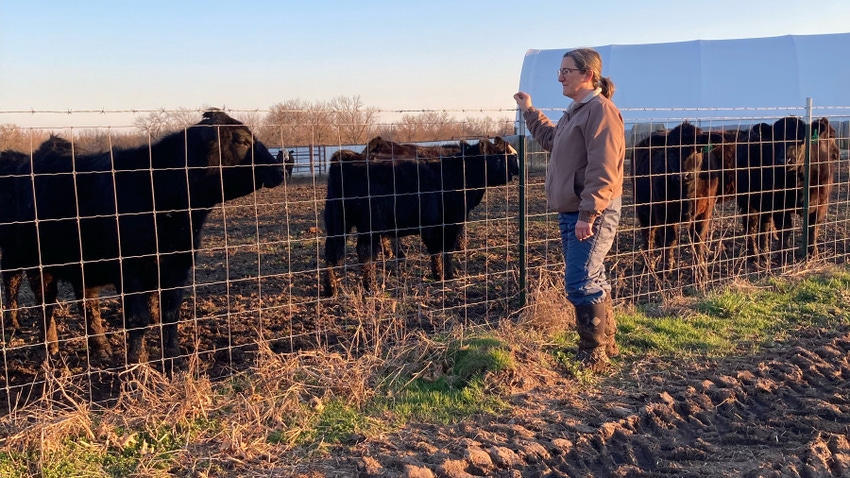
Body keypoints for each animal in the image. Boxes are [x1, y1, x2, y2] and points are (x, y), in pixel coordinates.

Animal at [1, 112, 284, 366]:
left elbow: (169, 315)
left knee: (88, 304)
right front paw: (137, 366)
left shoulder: (177, 268)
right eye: (242, 141)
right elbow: (138, 321)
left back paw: (101, 350)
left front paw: (174, 361)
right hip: (36, 263)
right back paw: (48, 350)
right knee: (42, 302)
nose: (281, 167)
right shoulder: (131, 272)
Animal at [322, 136, 516, 296]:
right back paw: (371, 286)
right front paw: (447, 275)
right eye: (498, 156)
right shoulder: (451, 221)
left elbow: (436, 250)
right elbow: (444, 249)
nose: (516, 169)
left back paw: (331, 289)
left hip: (337, 222)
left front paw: (438, 274)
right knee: (365, 252)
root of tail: (346, 158)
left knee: (332, 251)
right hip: (369, 226)